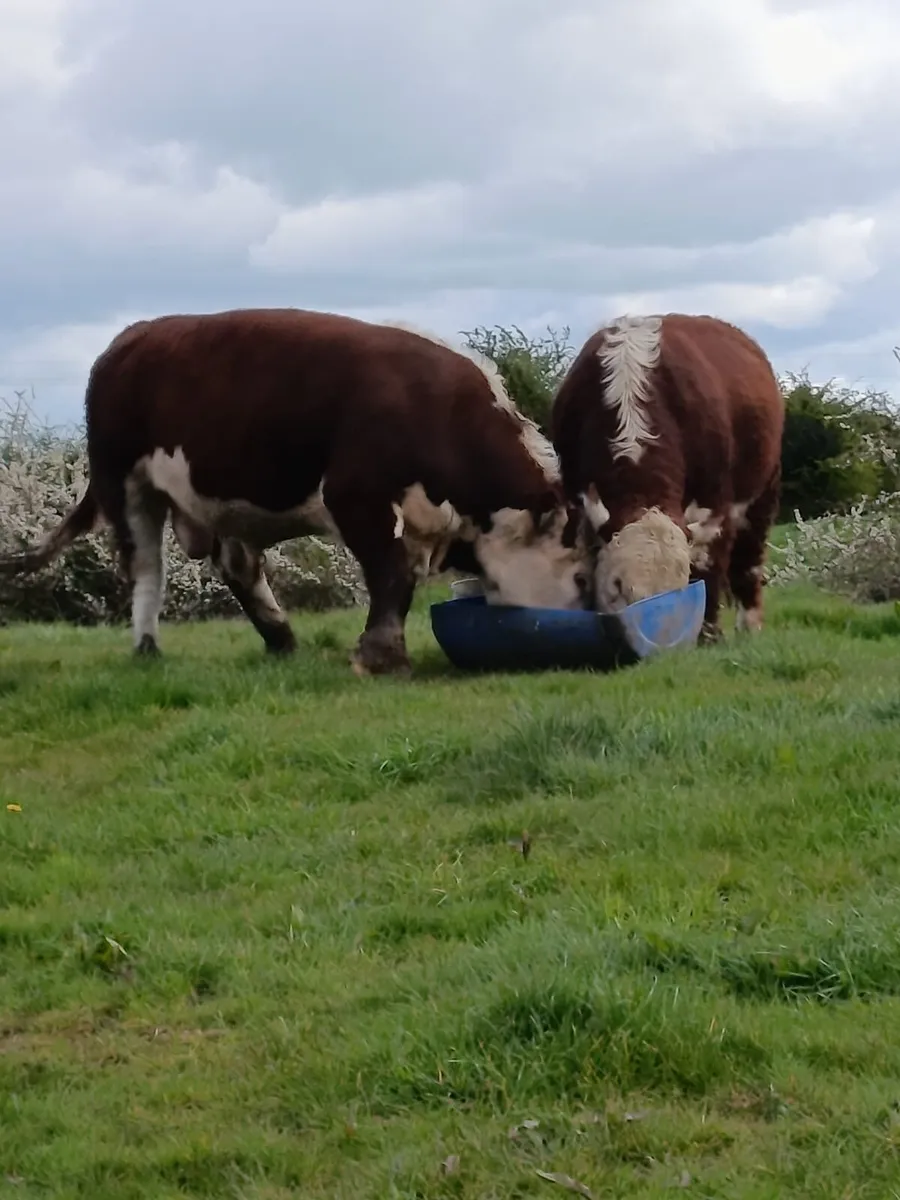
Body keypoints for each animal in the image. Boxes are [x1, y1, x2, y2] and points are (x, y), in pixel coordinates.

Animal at [0, 308, 594, 675]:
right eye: (582, 574)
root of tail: (133, 336)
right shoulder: (357, 497)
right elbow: (392, 577)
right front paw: (380, 658)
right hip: (126, 483)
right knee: (148, 569)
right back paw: (147, 649)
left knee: (238, 565)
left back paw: (282, 641)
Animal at [550, 312, 785, 642]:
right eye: (618, 585)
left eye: (679, 590)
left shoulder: (714, 504)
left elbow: (708, 566)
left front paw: (707, 634)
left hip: (763, 493)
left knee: (748, 563)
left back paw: (749, 626)